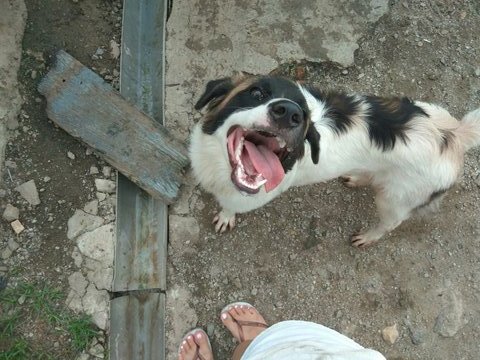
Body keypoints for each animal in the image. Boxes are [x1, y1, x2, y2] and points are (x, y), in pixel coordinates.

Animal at [188, 73, 480, 248]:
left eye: (304, 115)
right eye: (256, 93)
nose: (290, 113)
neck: (220, 166)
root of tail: (455, 136)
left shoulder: (243, 198)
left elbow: (230, 206)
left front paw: (226, 216)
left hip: (396, 200)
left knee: (391, 222)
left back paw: (369, 236)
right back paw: (356, 178)